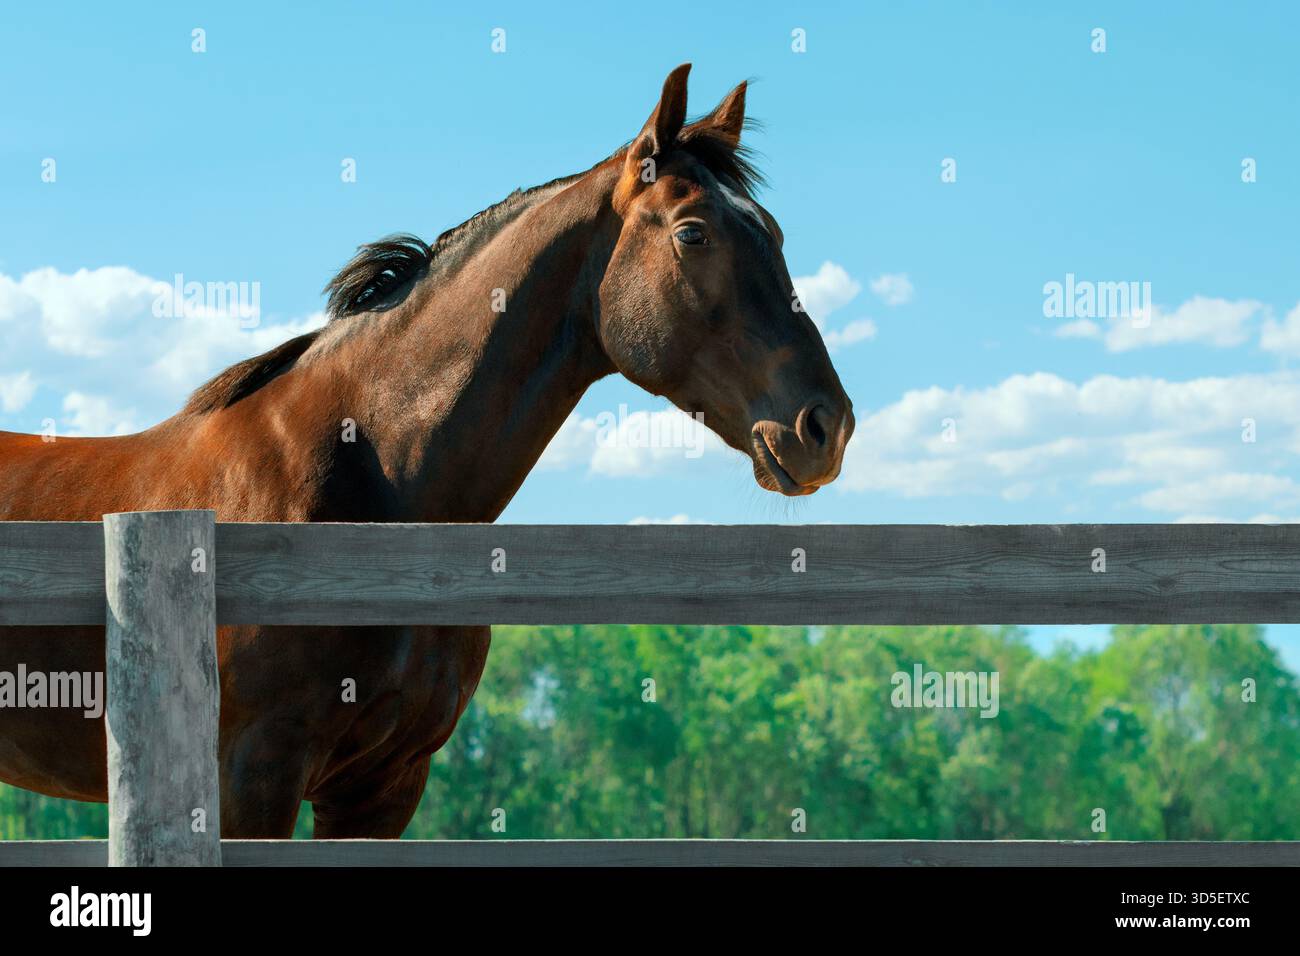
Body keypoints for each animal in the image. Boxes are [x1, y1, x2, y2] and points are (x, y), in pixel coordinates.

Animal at [0, 64, 854, 837]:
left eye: (773, 233)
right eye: (692, 232)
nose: (825, 426)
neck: (370, 489)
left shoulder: (383, 788)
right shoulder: (249, 778)